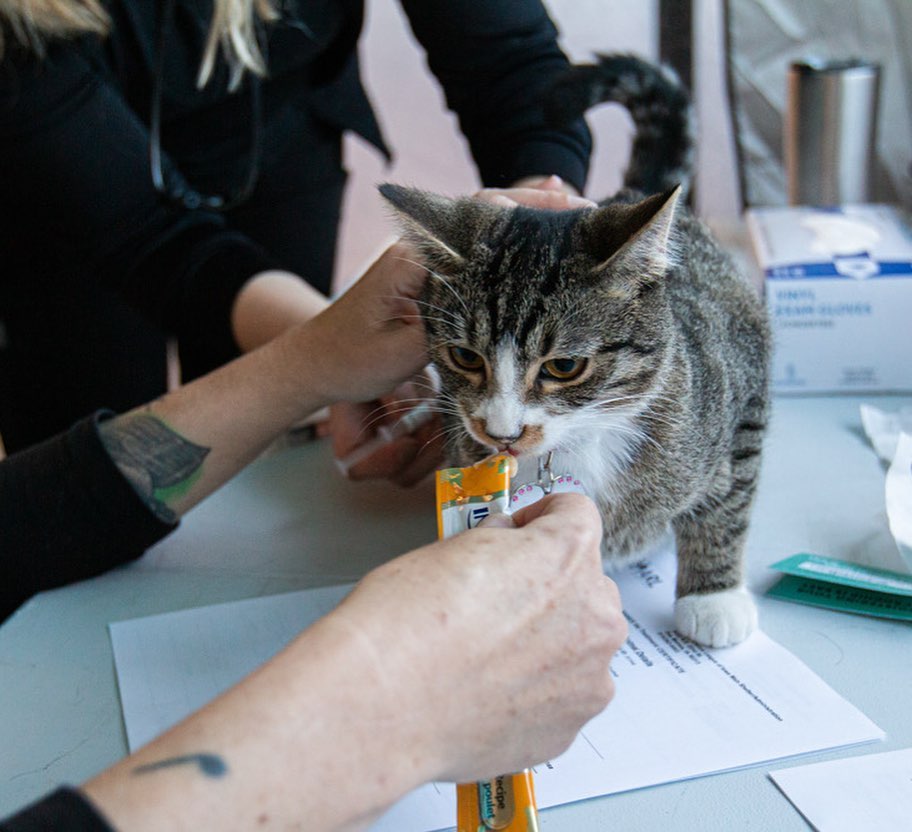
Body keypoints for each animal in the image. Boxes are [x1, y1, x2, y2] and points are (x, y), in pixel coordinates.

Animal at [380, 55, 768, 648]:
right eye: (465, 357)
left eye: (564, 366)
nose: (502, 433)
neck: (583, 437)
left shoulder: (743, 368)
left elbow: (732, 493)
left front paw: (713, 597)